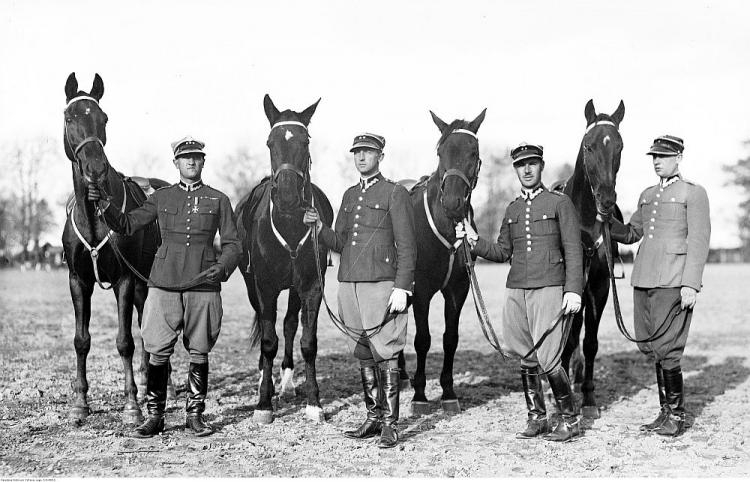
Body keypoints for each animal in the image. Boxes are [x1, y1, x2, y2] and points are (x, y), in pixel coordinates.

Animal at [61, 72, 170, 426]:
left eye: (103, 118)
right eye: (69, 117)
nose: (95, 168)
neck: (96, 217)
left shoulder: (124, 279)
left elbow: (125, 342)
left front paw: (131, 405)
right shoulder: (78, 281)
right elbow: (81, 340)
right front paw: (80, 402)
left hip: (147, 282)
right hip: (141, 286)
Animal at [236, 95, 334, 426]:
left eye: (305, 141)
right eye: (270, 142)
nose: (289, 195)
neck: (290, 224)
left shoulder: (312, 287)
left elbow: (308, 341)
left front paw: (314, 403)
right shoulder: (264, 287)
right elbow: (268, 342)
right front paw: (263, 404)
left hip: (293, 289)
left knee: (290, 325)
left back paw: (288, 382)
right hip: (252, 287)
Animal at [400, 109, 488, 414]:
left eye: (473, 152)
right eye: (440, 151)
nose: (452, 202)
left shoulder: (458, 290)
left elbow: (450, 339)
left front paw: (448, 392)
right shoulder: (422, 290)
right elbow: (422, 340)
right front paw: (420, 395)